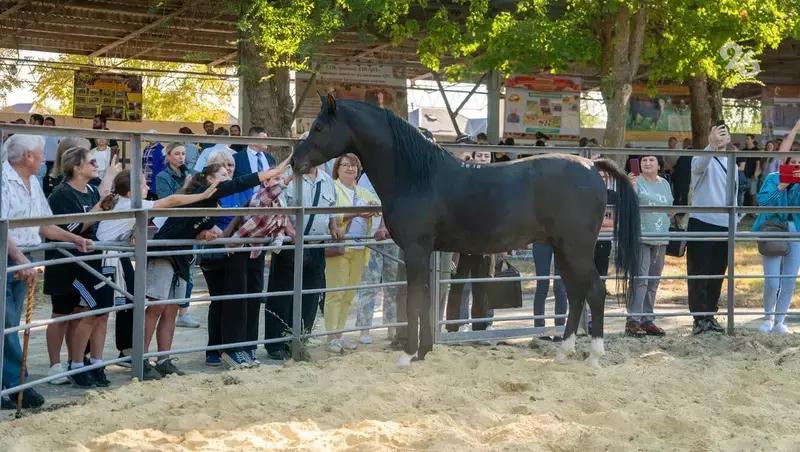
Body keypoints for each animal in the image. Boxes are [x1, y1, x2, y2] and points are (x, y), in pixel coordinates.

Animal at [290, 95, 640, 368]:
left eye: (319, 127)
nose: (294, 161)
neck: (417, 176)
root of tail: (592, 167)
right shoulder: (424, 253)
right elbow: (426, 299)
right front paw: (423, 351)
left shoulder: (415, 250)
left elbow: (415, 300)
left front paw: (407, 354)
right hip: (562, 250)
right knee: (578, 293)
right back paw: (565, 351)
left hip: (575, 249)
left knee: (595, 291)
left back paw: (594, 355)